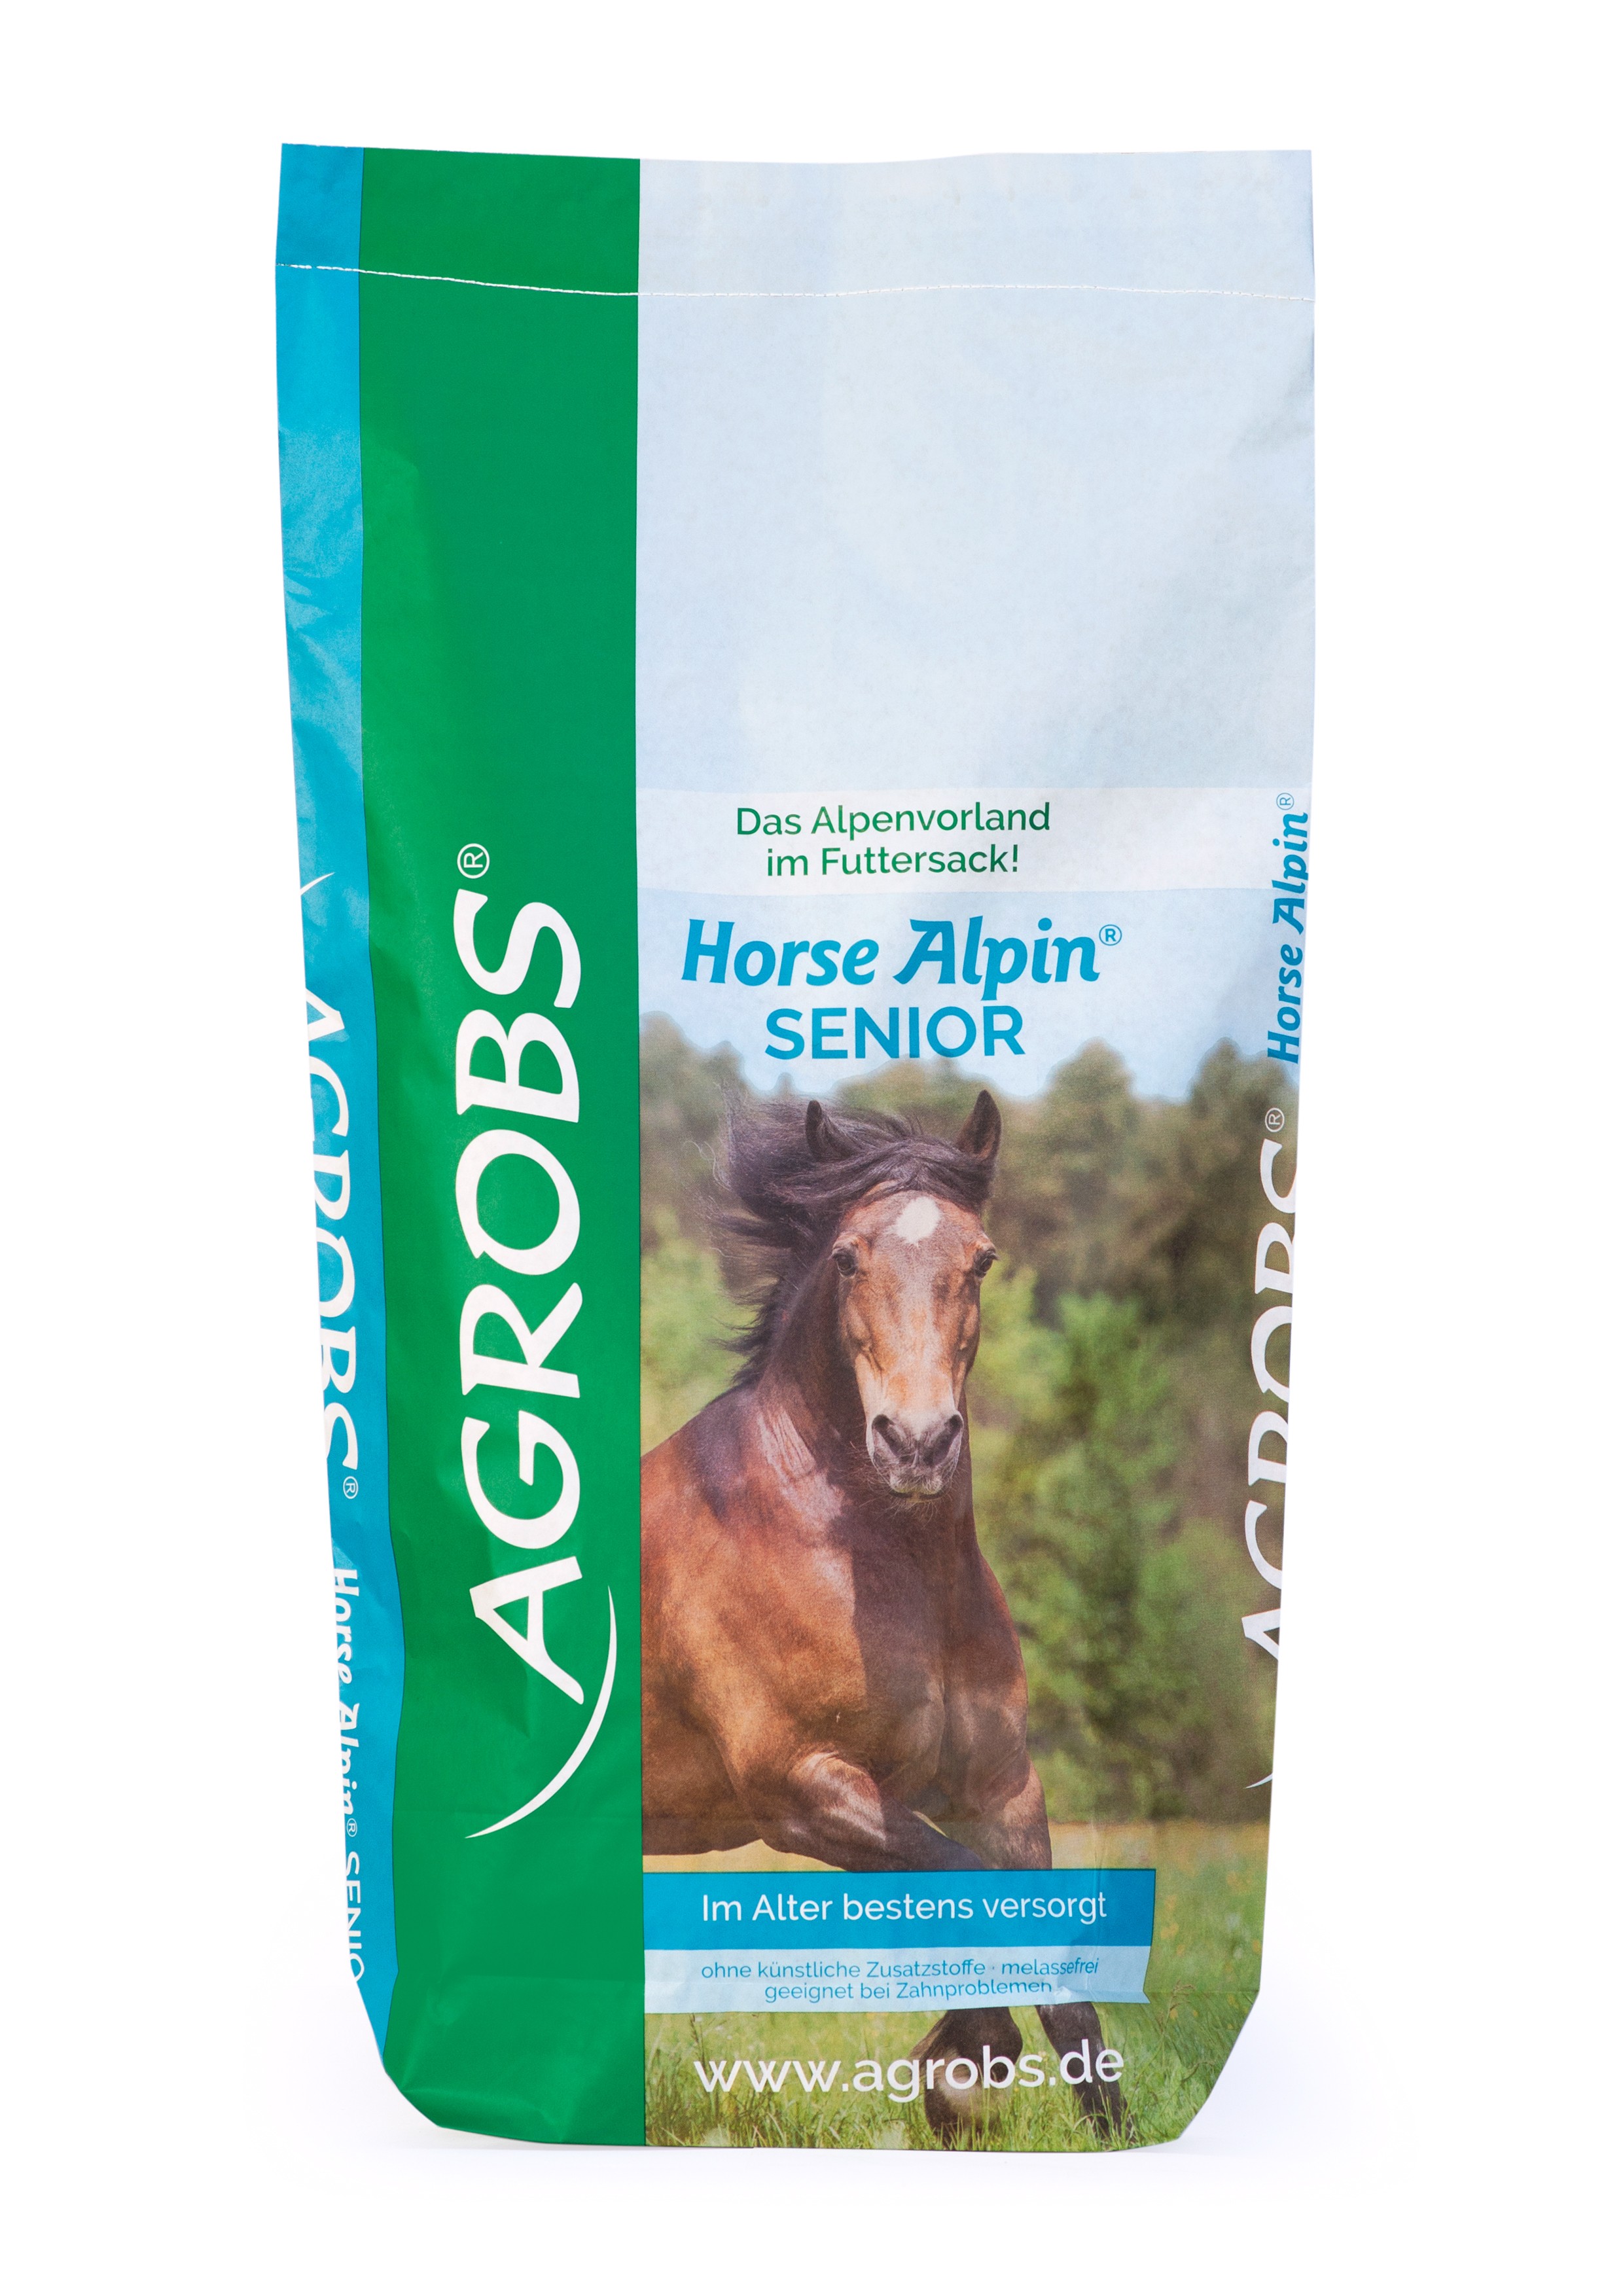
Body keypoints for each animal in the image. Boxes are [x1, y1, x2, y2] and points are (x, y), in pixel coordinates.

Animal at [640, 1089, 1126, 2144]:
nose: (916, 1441)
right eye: (847, 1257)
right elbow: (967, 1896)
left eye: (981, 1257)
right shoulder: (804, 1789)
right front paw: (959, 2067)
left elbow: (1062, 1982)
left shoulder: (1001, 1790)